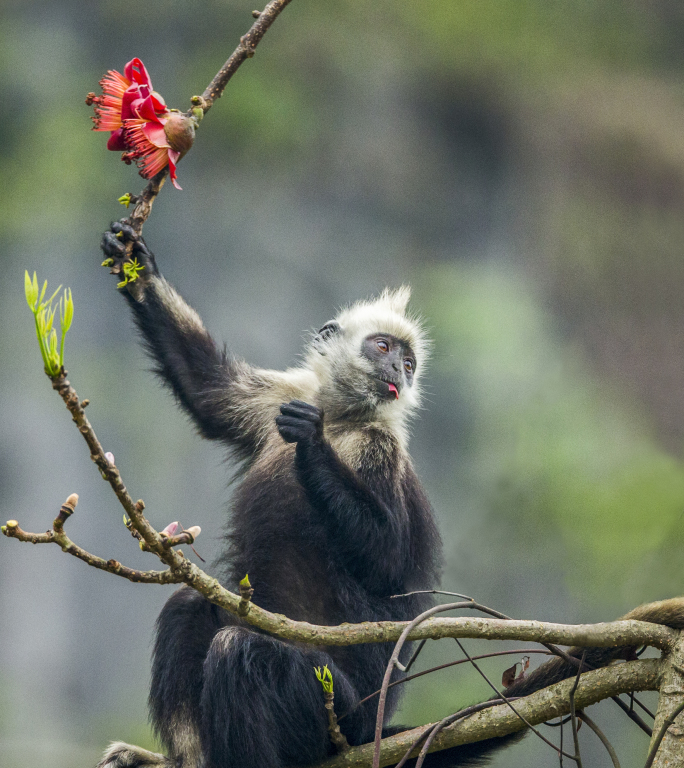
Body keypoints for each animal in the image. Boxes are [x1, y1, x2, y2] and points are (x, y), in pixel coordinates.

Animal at [97, 222, 684, 768]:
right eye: (382, 347)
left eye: (408, 362)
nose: (397, 369)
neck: (343, 420)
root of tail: (365, 730)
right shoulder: (280, 401)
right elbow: (209, 393)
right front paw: (136, 265)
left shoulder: (379, 450)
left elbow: (384, 563)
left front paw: (311, 447)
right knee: (189, 607)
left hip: (338, 708)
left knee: (240, 650)